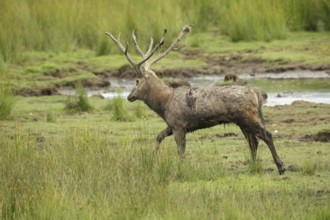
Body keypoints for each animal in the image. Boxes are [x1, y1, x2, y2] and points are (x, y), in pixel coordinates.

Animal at [104, 24, 284, 174]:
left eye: (136, 81)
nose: (129, 97)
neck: (164, 105)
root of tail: (257, 93)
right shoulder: (171, 125)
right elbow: (159, 136)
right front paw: (153, 156)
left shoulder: (179, 125)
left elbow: (181, 151)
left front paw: (180, 169)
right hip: (242, 121)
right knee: (254, 142)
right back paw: (252, 166)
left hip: (248, 116)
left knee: (266, 135)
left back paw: (280, 167)